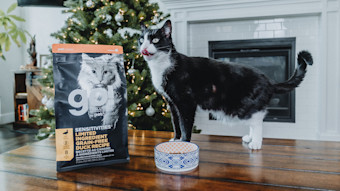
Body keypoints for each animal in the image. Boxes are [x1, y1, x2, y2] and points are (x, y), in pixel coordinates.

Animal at [139, 20, 314, 149]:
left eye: (155, 40)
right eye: (141, 40)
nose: (143, 48)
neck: (163, 65)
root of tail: (269, 81)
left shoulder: (186, 102)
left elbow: (185, 124)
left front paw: (184, 144)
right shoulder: (171, 102)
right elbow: (175, 123)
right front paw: (175, 140)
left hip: (243, 105)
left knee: (257, 119)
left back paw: (256, 143)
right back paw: (250, 138)